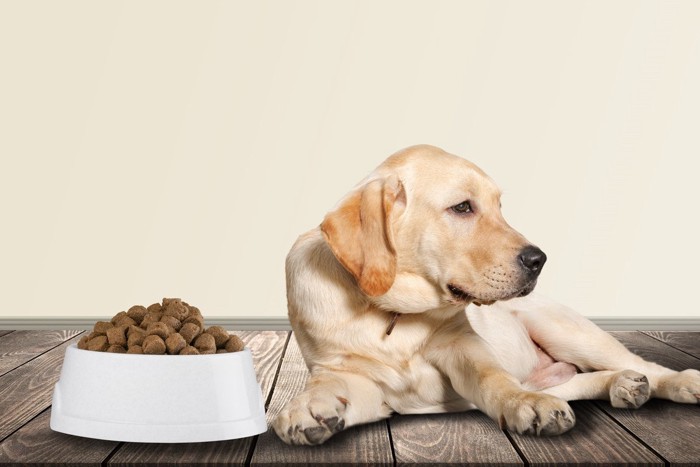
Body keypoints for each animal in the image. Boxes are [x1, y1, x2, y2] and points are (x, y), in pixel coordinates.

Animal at [274, 145, 700, 446]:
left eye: (499, 206)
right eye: (463, 207)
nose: (538, 259)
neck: (392, 313)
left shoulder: (463, 346)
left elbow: (493, 378)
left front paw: (523, 405)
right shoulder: (352, 377)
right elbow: (325, 386)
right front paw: (306, 409)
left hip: (565, 329)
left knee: (644, 364)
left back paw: (678, 382)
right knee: (581, 381)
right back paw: (623, 385)